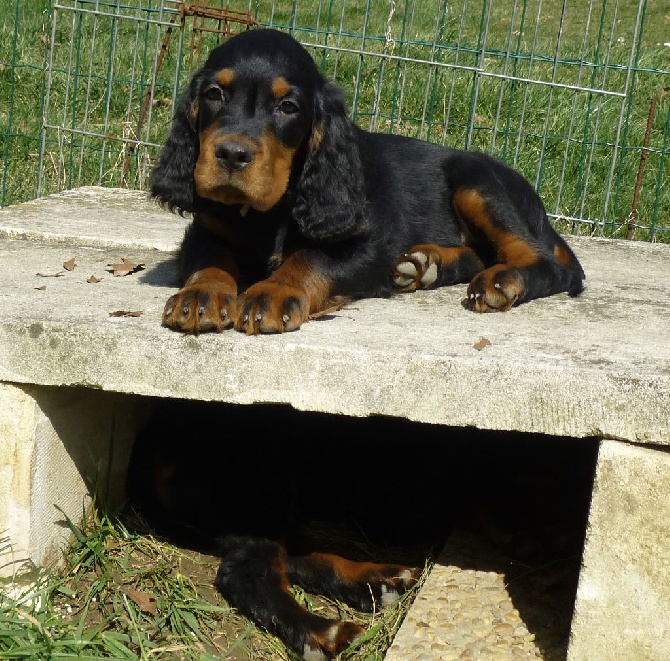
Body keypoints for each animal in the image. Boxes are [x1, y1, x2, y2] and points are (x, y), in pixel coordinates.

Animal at [151, 27, 584, 332]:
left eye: (288, 107)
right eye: (213, 93)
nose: (231, 154)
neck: (269, 210)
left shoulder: (369, 243)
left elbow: (309, 257)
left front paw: (271, 292)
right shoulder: (205, 229)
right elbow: (211, 256)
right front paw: (200, 295)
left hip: (477, 184)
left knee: (547, 264)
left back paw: (501, 279)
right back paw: (424, 265)